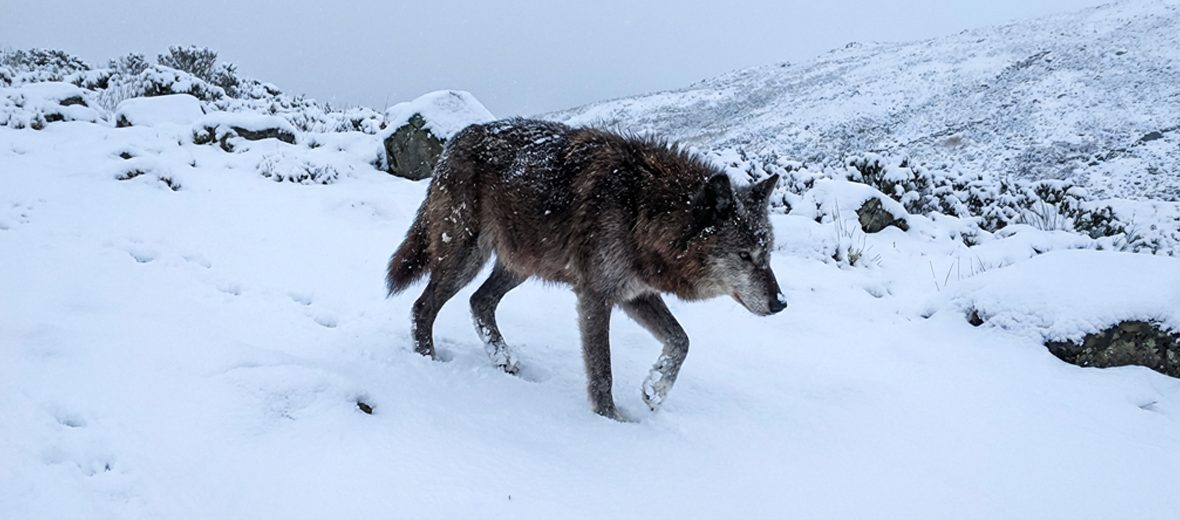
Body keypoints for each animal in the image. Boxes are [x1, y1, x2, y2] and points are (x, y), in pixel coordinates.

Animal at [386, 118, 785, 419]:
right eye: (745, 255)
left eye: (768, 253)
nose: (781, 303)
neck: (644, 209)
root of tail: (458, 137)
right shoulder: (596, 296)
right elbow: (602, 369)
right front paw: (610, 419)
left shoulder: (636, 294)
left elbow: (682, 341)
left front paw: (654, 390)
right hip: (466, 258)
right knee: (424, 306)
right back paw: (428, 362)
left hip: (522, 263)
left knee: (479, 302)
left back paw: (505, 360)